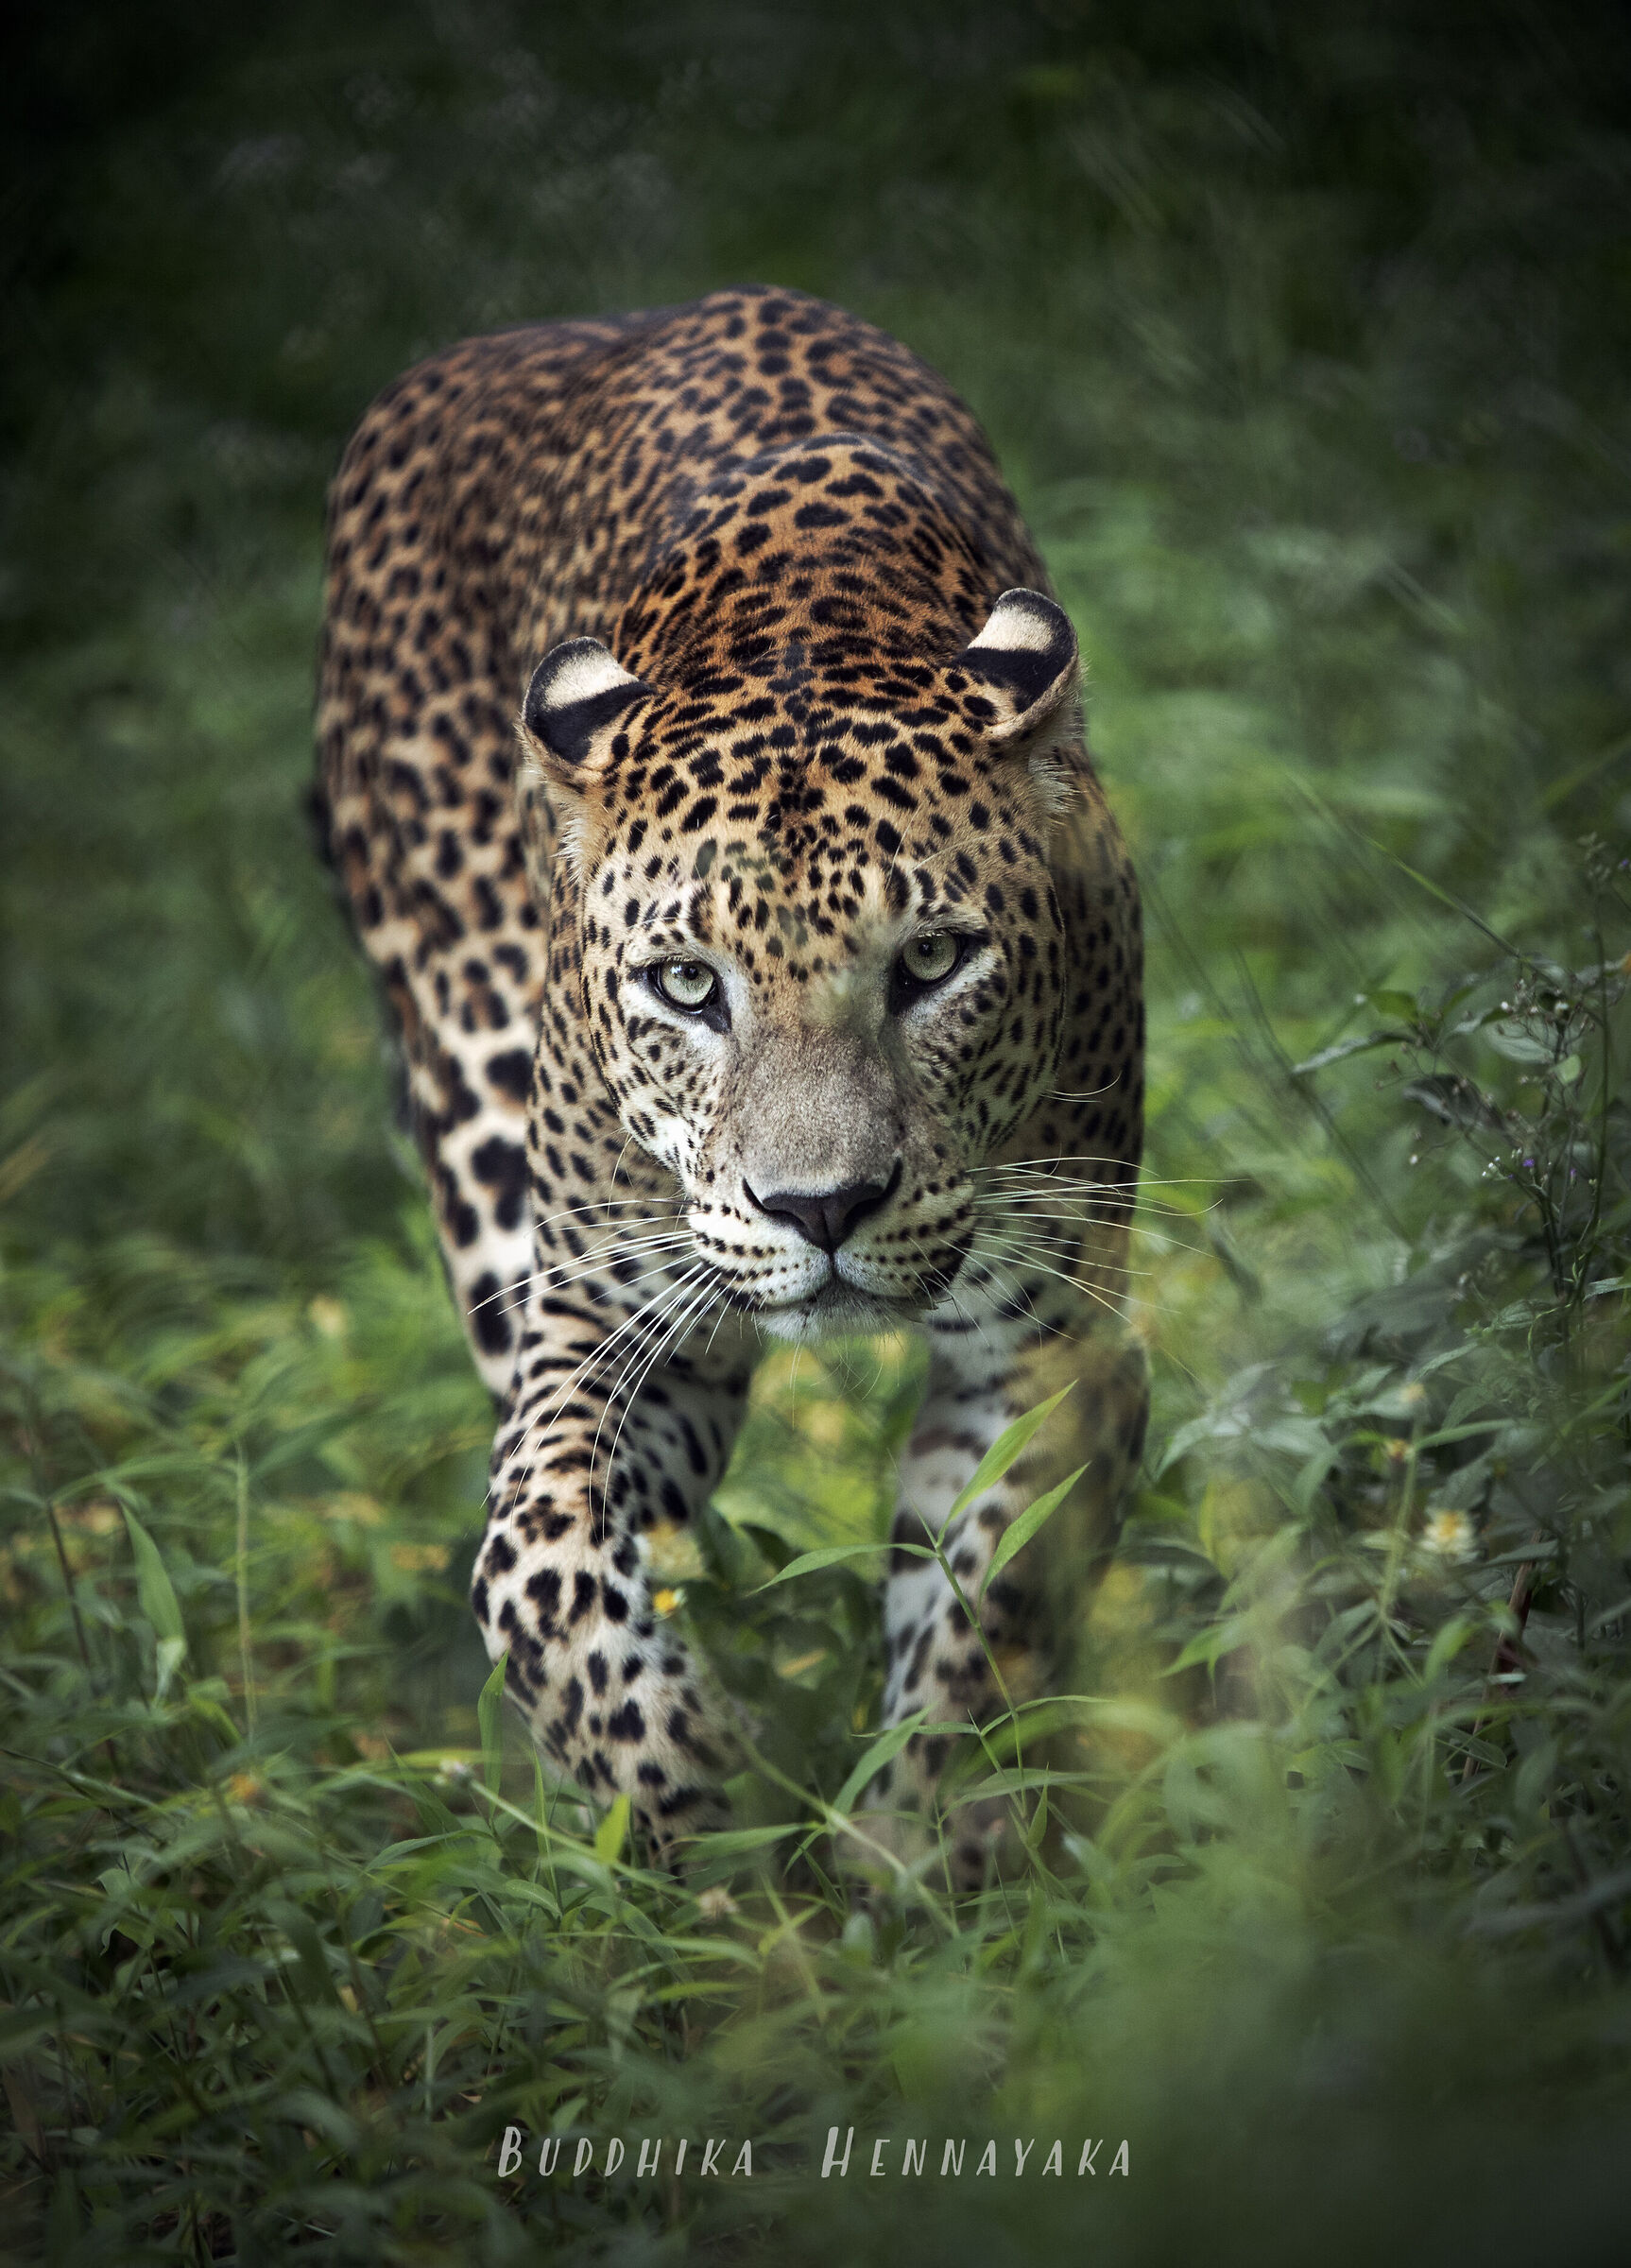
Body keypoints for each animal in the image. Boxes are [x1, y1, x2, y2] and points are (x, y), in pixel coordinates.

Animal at [315, 284, 1147, 1885]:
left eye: (935, 959)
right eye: (688, 985)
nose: (820, 1210)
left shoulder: (1045, 1352)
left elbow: (984, 1602)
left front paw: (914, 1861)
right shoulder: (611, 1327)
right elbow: (536, 1560)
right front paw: (684, 1790)